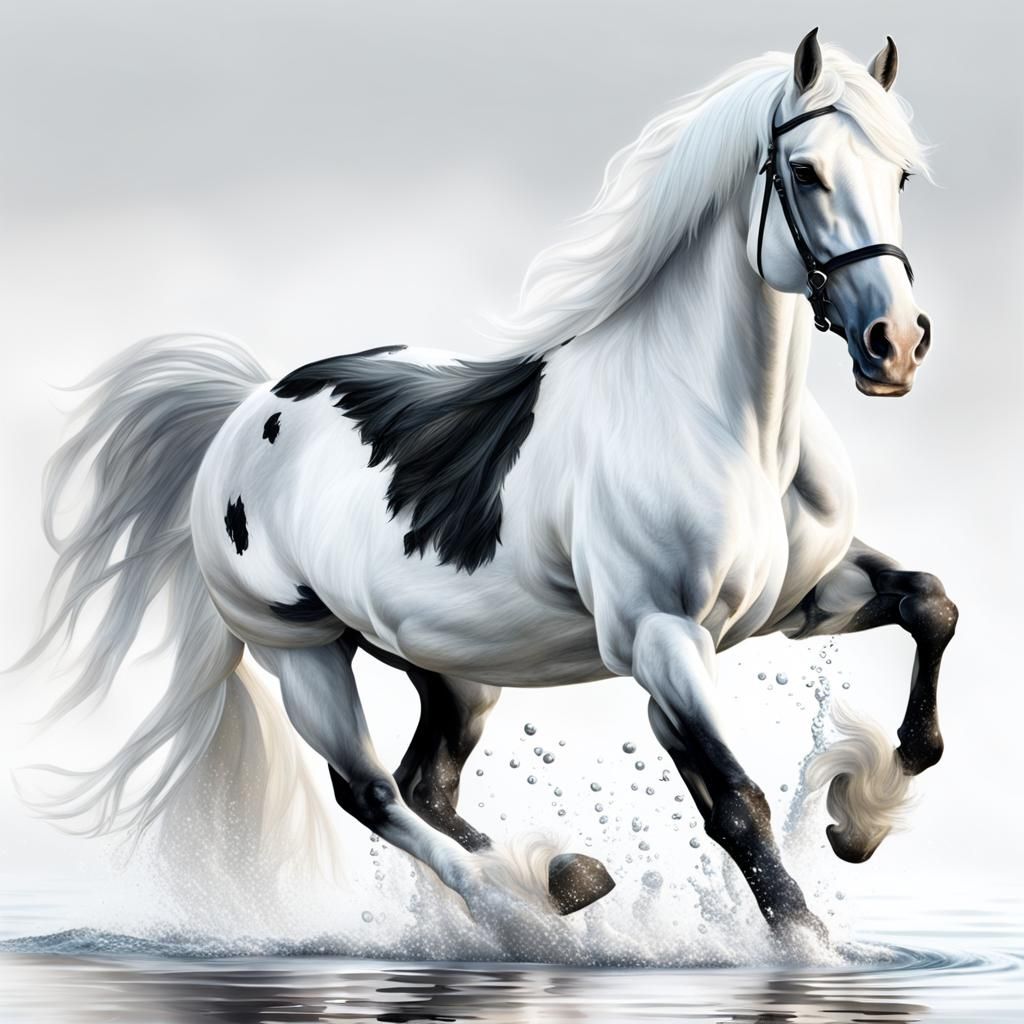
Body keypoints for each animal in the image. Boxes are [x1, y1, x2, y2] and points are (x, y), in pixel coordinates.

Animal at [19, 30, 956, 940]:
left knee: (423, 784)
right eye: (806, 171)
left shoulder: (799, 600)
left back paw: (559, 876)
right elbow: (735, 802)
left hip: (451, 665)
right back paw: (515, 907)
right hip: (304, 655)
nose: (896, 344)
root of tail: (245, 408)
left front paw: (860, 815)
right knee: (371, 792)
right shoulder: (661, 637)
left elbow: (930, 605)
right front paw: (806, 939)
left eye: (900, 175)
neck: (727, 423)